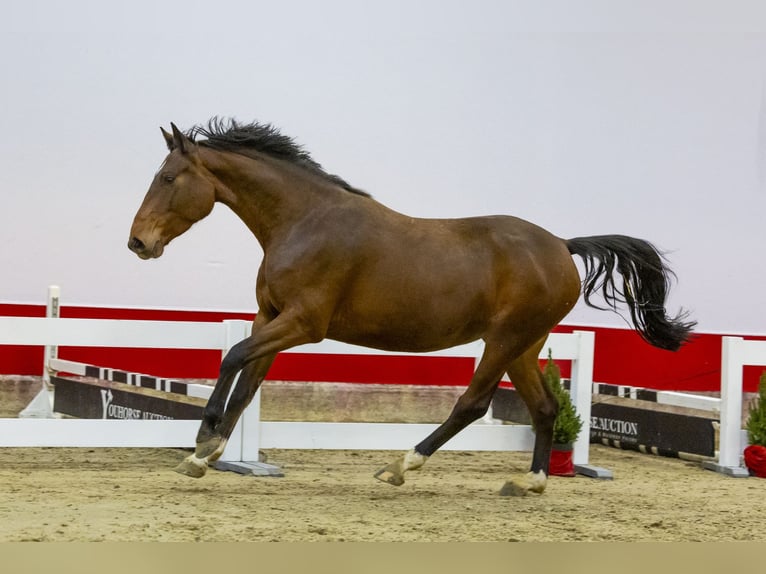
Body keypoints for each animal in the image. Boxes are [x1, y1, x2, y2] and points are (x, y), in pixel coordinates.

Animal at [130, 119, 696, 498]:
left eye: (168, 178)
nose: (138, 242)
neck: (304, 221)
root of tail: (561, 245)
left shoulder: (303, 324)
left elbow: (232, 358)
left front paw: (202, 439)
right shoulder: (271, 318)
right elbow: (248, 380)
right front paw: (207, 455)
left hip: (504, 340)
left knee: (473, 403)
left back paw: (400, 466)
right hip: (524, 346)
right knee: (545, 408)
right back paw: (529, 483)